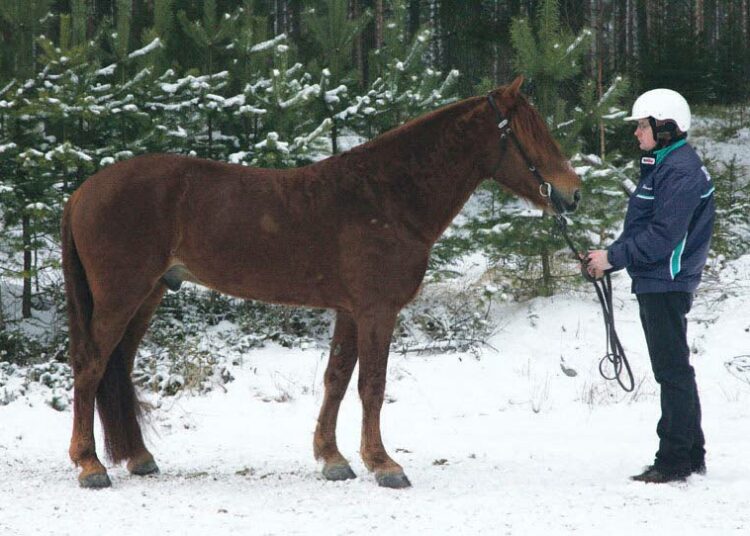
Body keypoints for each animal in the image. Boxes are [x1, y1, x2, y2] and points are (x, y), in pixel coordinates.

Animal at [63, 76, 580, 490]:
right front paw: (383, 464)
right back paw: (90, 466)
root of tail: (84, 190)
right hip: (120, 297)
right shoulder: (376, 311)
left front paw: (333, 458)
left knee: (118, 365)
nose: (572, 194)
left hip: (148, 295)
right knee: (90, 365)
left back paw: (138, 457)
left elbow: (336, 379)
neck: (387, 196)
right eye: (526, 133)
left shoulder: (350, 311)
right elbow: (372, 384)